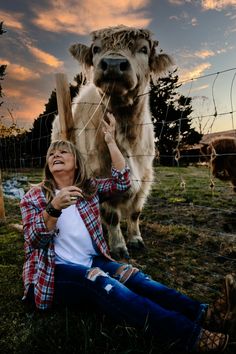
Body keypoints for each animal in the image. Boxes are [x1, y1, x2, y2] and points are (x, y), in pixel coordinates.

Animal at [52, 24, 173, 258]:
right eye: (96, 49)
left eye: (143, 49)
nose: (114, 64)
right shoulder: (97, 174)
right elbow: (112, 216)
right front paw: (118, 246)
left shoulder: (145, 177)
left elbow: (135, 212)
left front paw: (135, 239)